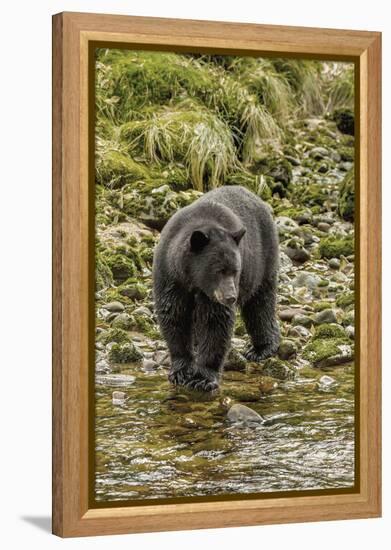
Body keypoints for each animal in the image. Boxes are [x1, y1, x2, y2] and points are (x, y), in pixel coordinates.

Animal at [152, 185, 280, 392]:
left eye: (235, 270)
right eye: (219, 270)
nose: (231, 297)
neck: (193, 280)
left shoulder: (213, 294)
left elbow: (215, 322)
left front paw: (202, 378)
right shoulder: (170, 277)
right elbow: (174, 315)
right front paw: (180, 371)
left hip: (263, 261)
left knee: (260, 304)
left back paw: (261, 349)